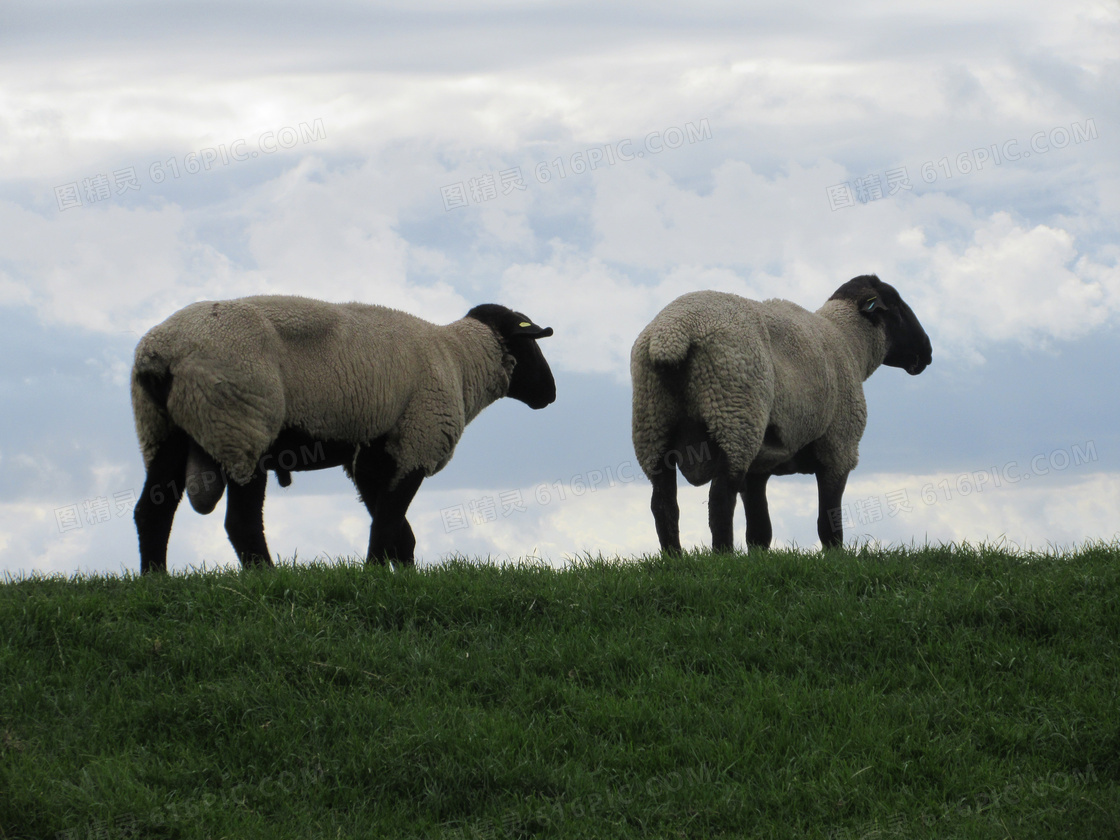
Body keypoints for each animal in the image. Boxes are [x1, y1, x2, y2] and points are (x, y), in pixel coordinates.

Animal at [128, 293, 557, 577]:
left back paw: (155, 579)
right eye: (531, 343)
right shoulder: (417, 440)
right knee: (241, 522)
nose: (550, 394)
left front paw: (403, 576)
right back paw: (266, 577)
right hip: (239, 424)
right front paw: (374, 575)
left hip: (163, 430)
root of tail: (159, 355)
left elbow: (397, 527)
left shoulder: (371, 456)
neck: (461, 360)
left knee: (152, 510)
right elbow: (388, 520)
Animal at [631, 273, 936, 555]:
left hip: (653, 422)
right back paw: (723, 556)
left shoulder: (759, 467)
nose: (927, 351)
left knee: (663, 503)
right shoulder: (839, 447)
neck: (850, 342)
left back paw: (675, 558)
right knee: (719, 497)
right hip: (734, 413)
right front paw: (835, 557)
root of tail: (672, 333)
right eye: (896, 305)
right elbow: (829, 521)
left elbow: (759, 530)